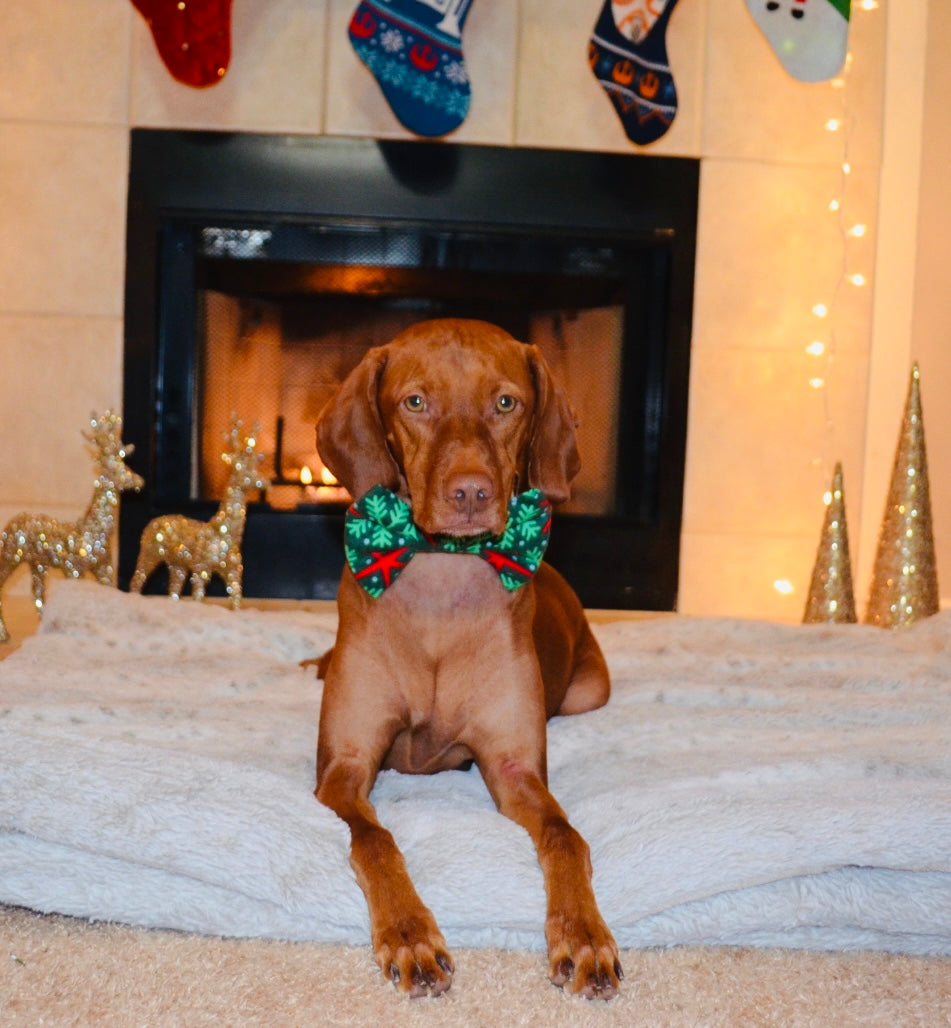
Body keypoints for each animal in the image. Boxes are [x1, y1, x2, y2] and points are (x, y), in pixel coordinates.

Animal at [312, 316, 625, 999]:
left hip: (591, 691)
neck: (442, 591)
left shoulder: (513, 769)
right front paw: (409, 935)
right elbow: (374, 837)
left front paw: (584, 935)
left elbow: (565, 835)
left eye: (506, 403)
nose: (472, 492)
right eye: (415, 402)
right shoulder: (344, 767)